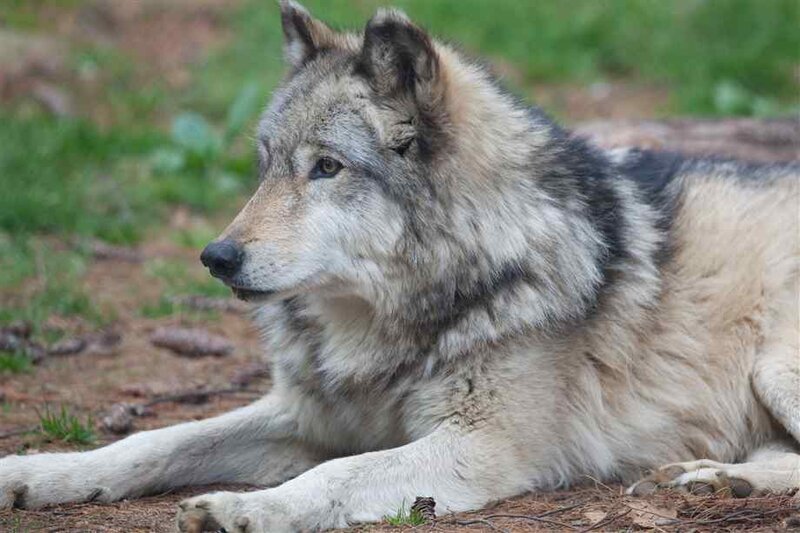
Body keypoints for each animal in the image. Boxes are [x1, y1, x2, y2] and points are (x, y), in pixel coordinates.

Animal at [1, 2, 798, 531]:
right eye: (266, 165)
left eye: (327, 167)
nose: (216, 257)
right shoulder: (307, 414)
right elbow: (152, 442)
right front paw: (33, 473)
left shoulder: (481, 447)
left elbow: (336, 473)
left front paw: (239, 507)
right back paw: (705, 480)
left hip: (772, 366)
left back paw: (711, 480)